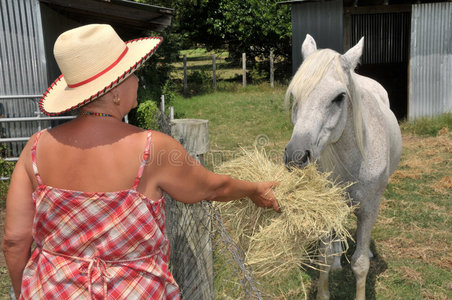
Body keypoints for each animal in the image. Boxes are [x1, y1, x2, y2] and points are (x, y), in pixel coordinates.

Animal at [284, 35, 400, 300]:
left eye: (339, 97)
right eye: (295, 95)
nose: (296, 156)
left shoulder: (369, 209)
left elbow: (360, 264)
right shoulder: (326, 205)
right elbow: (324, 258)